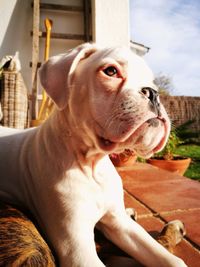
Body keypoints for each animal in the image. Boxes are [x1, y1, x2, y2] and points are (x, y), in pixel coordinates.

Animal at [0, 44, 188, 267]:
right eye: (110, 71)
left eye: (152, 83)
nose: (153, 93)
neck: (92, 165)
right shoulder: (78, 251)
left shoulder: (121, 225)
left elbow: (171, 259)